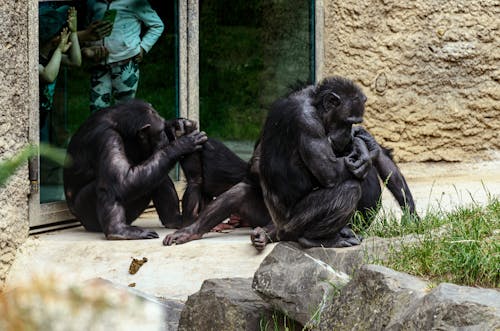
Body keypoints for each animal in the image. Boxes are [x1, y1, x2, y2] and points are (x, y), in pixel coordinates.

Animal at [63, 100, 207, 240]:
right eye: (160, 132)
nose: (165, 137)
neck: (117, 124)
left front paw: (177, 123)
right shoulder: (107, 137)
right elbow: (122, 180)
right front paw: (181, 145)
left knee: (157, 174)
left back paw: (175, 220)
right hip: (88, 216)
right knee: (109, 185)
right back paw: (118, 231)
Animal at [165, 76, 418, 252]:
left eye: (353, 122)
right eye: (347, 121)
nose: (349, 132)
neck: (314, 105)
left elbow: (382, 159)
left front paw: (413, 218)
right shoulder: (309, 124)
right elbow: (330, 172)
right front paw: (364, 150)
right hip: (292, 223)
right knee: (347, 187)